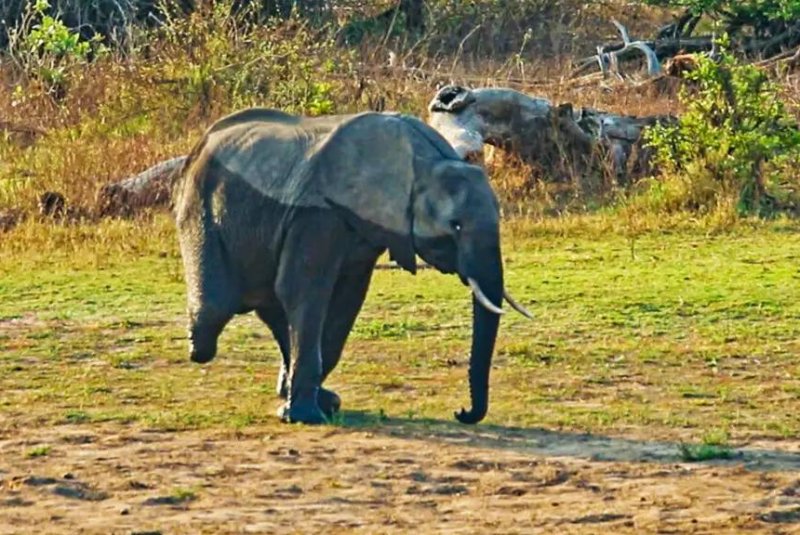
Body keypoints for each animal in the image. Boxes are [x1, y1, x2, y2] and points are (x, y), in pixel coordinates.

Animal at [171, 107, 528, 428]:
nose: (460, 412)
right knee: (215, 310)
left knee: (269, 306)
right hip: (199, 205)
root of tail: (202, 141)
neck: (422, 163)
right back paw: (203, 350)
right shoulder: (318, 214)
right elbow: (303, 290)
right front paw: (306, 418)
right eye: (455, 226)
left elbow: (348, 296)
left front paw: (323, 406)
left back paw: (309, 394)